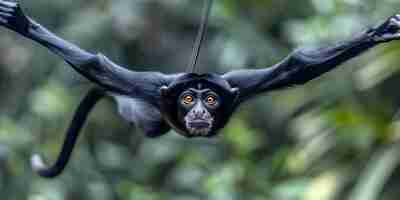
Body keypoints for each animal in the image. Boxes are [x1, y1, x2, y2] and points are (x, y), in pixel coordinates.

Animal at [0, 0, 400, 178]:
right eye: (189, 98)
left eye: (209, 99)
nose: (198, 112)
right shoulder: (151, 89)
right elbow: (95, 65)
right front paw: (21, 23)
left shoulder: (237, 86)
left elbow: (298, 67)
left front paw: (378, 32)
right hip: (153, 109)